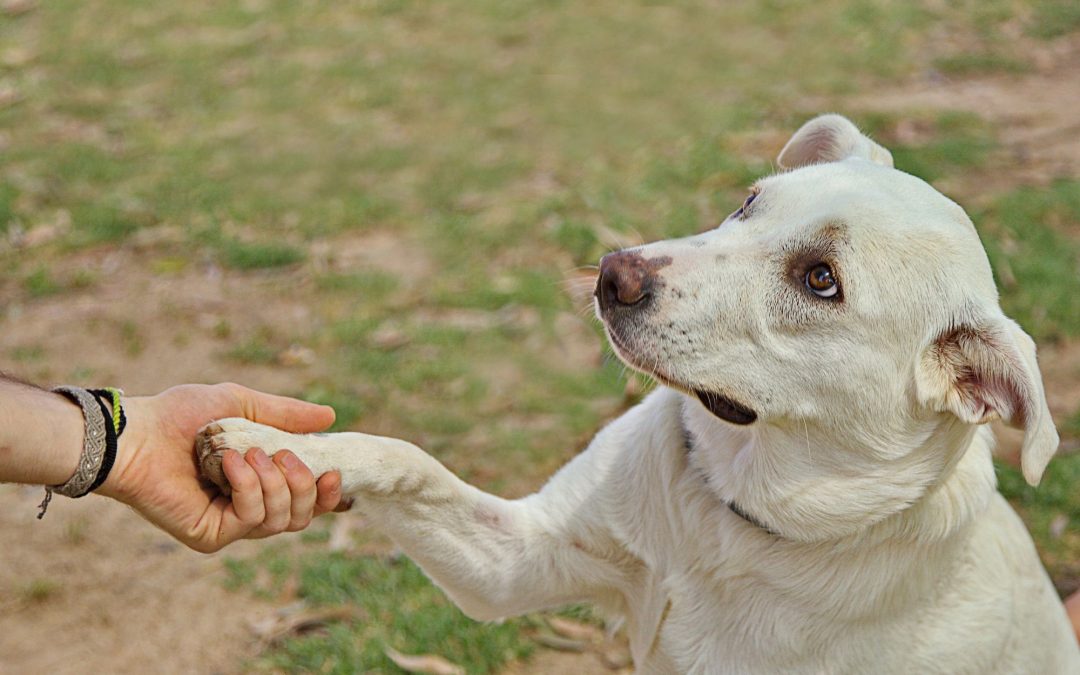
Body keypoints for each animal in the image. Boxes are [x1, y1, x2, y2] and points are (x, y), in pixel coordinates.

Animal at [196, 113, 1080, 669]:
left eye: (820, 279)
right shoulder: (516, 560)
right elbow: (404, 455)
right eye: (749, 202)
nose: (613, 271)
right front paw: (275, 446)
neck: (734, 519)